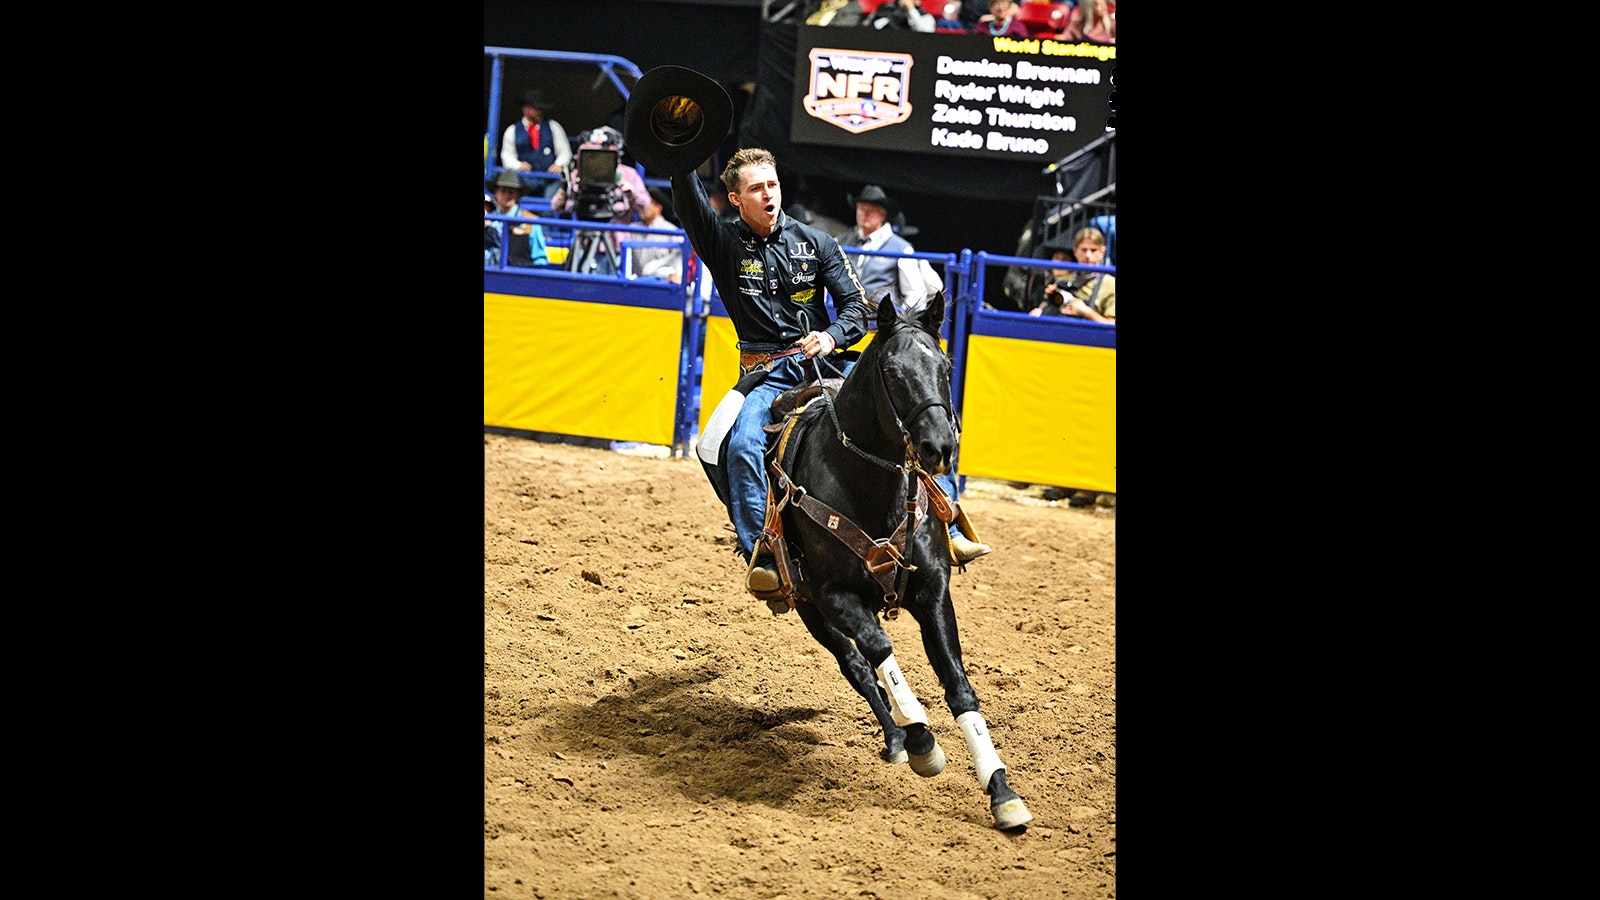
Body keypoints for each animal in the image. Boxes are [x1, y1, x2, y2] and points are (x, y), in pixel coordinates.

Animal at [745, 293, 1024, 826]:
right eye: (893, 371)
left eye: (946, 366)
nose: (939, 447)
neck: (868, 485)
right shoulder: (834, 594)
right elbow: (879, 651)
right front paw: (920, 737)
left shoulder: (933, 590)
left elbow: (958, 685)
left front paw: (1001, 789)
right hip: (810, 606)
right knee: (855, 664)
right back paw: (899, 738)